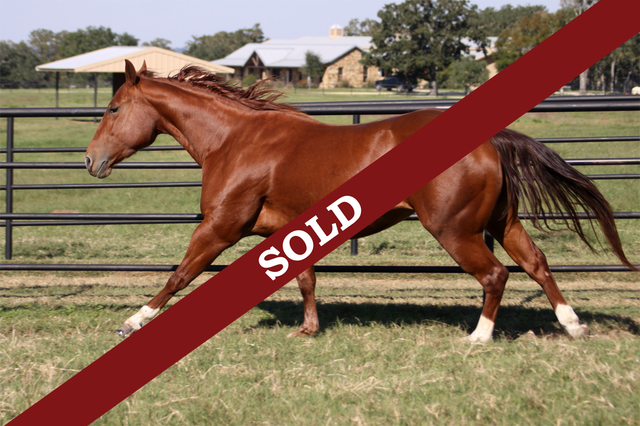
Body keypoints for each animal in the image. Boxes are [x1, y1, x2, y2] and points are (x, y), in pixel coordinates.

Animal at [85, 60, 637, 343]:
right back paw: (573, 326)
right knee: (537, 264)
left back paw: (478, 338)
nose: (90, 160)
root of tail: (490, 141)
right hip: (503, 222)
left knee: (495, 275)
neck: (235, 139)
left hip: (454, 230)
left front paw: (132, 321)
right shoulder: (288, 228)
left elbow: (180, 273)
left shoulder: (220, 226)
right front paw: (308, 330)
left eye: (112, 109)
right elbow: (305, 278)